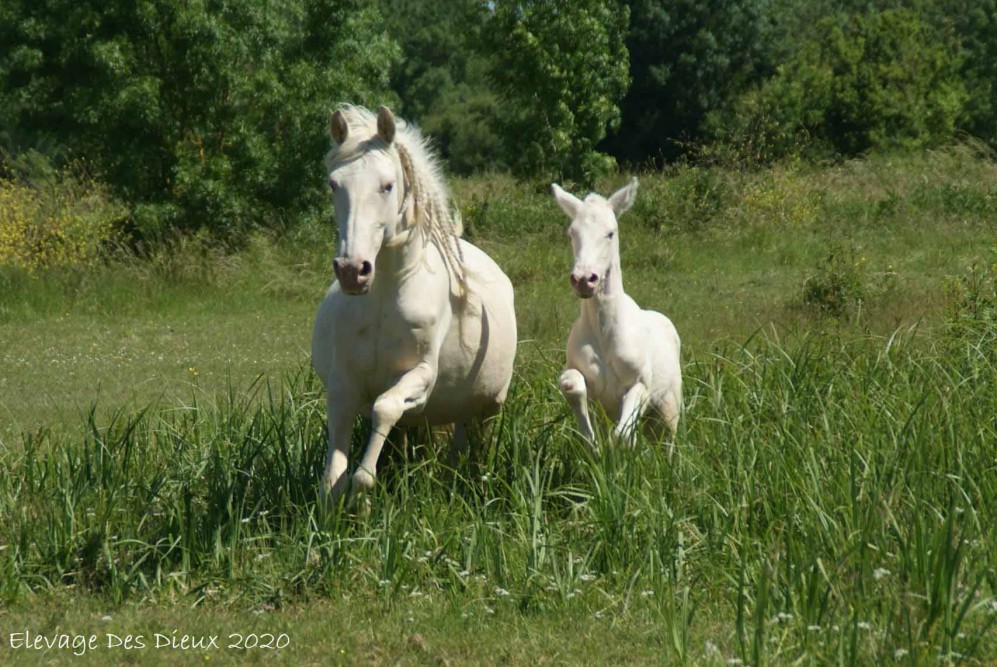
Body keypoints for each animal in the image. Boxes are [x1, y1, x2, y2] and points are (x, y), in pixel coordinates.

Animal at [312, 107, 516, 504]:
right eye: (333, 185)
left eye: (387, 185)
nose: (352, 271)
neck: (382, 299)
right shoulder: (343, 385)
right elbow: (333, 474)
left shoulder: (420, 376)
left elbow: (384, 408)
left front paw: (364, 486)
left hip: (487, 407)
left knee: (472, 447)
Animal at [552, 180, 684, 446]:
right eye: (572, 233)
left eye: (610, 232)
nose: (584, 280)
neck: (605, 335)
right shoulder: (595, 394)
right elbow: (572, 385)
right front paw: (594, 447)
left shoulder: (641, 386)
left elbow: (621, 434)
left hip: (668, 406)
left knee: (666, 440)